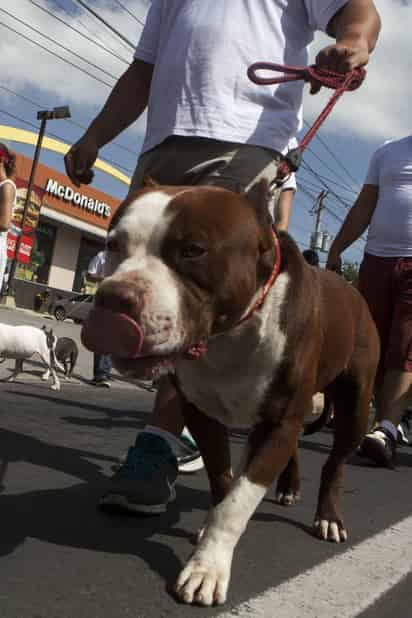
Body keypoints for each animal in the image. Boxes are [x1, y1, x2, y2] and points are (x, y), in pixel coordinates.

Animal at [80, 177, 380, 600]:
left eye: (193, 251)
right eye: (113, 245)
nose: (113, 296)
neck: (230, 335)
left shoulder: (277, 424)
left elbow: (239, 501)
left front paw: (208, 568)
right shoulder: (203, 414)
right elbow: (224, 484)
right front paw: (210, 539)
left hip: (354, 406)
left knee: (335, 465)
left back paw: (328, 517)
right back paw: (289, 486)